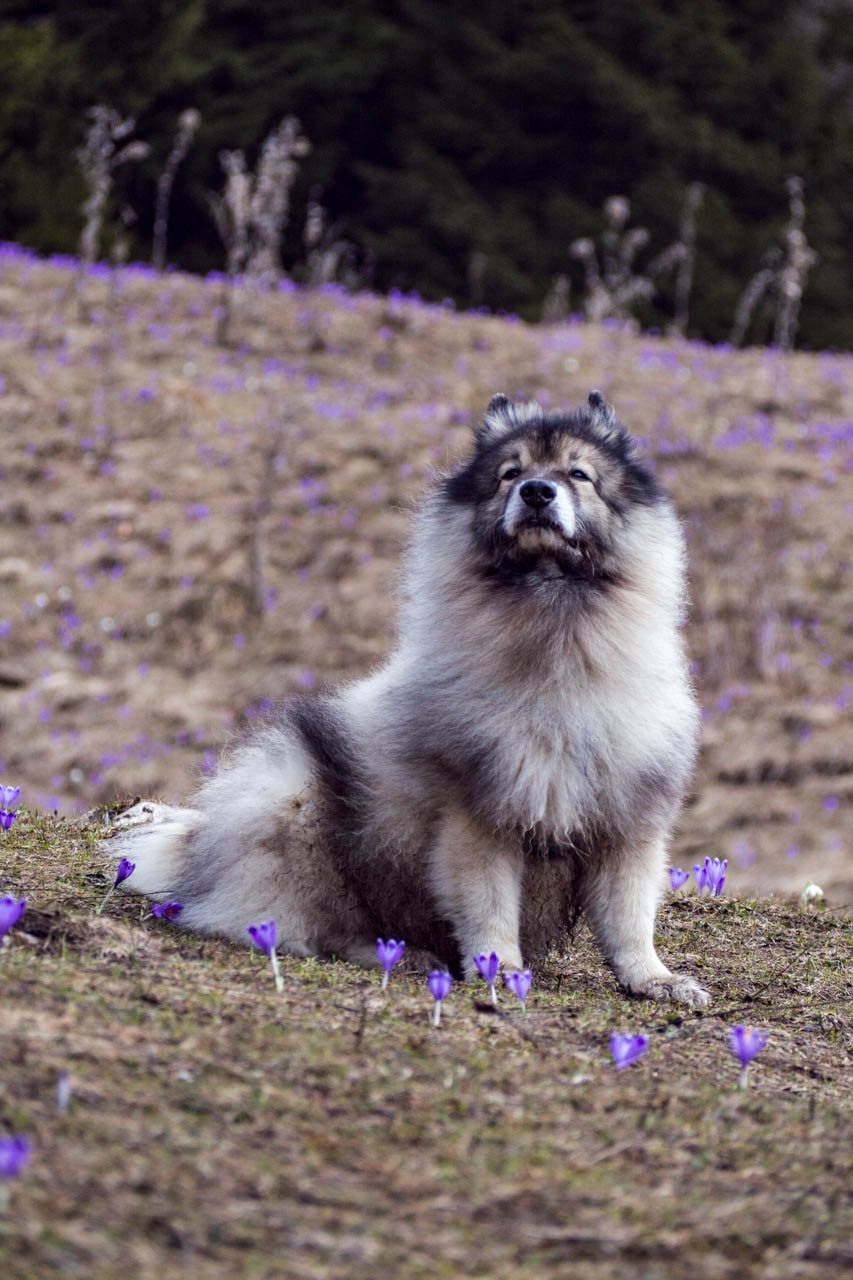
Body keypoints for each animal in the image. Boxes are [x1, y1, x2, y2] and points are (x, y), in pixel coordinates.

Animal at [106, 389, 701, 1008]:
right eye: (510, 473)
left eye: (578, 474)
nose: (537, 491)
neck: (555, 634)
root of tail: (198, 850)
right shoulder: (479, 817)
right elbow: (490, 909)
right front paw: (501, 970)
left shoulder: (627, 823)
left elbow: (630, 918)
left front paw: (655, 979)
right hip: (294, 800)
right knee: (317, 928)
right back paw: (401, 954)